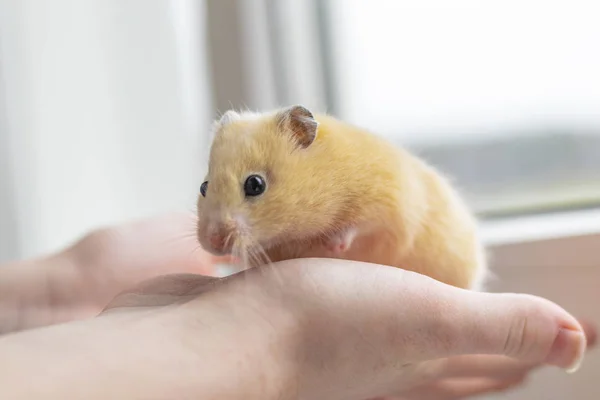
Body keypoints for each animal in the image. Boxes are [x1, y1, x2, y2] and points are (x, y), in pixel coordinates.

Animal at [197, 104, 488, 290]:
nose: (213, 243)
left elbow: (360, 225)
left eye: (255, 184)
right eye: (203, 187)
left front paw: (334, 245)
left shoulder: (388, 201)